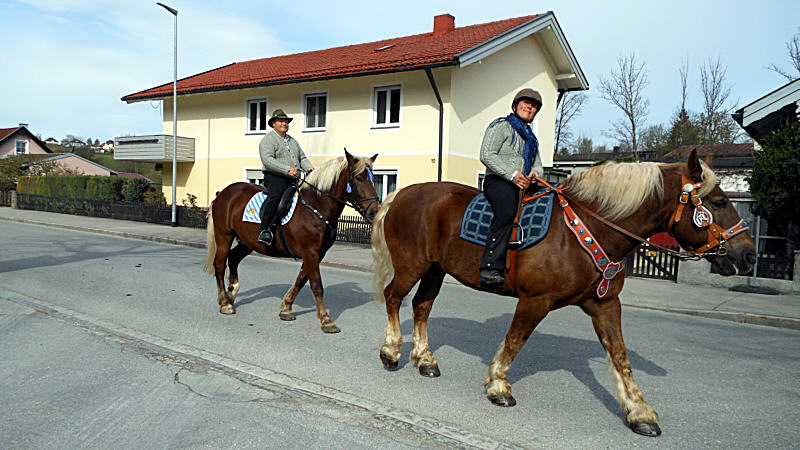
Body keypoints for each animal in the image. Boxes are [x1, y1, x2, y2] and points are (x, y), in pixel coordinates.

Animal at [206, 149, 382, 332]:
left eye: (374, 179)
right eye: (359, 178)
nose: (374, 212)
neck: (316, 207)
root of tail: (224, 193)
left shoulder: (316, 254)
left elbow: (301, 280)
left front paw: (286, 308)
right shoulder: (310, 253)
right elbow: (317, 285)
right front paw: (326, 320)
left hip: (248, 242)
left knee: (233, 258)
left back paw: (231, 294)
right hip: (224, 236)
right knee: (220, 265)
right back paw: (225, 303)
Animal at [372, 150, 752, 436]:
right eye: (719, 202)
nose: (747, 254)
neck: (585, 229)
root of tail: (402, 193)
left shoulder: (605, 305)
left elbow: (620, 355)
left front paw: (639, 411)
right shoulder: (535, 301)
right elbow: (515, 341)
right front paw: (498, 386)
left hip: (435, 269)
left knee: (421, 307)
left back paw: (425, 359)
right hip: (412, 265)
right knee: (393, 298)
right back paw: (391, 352)